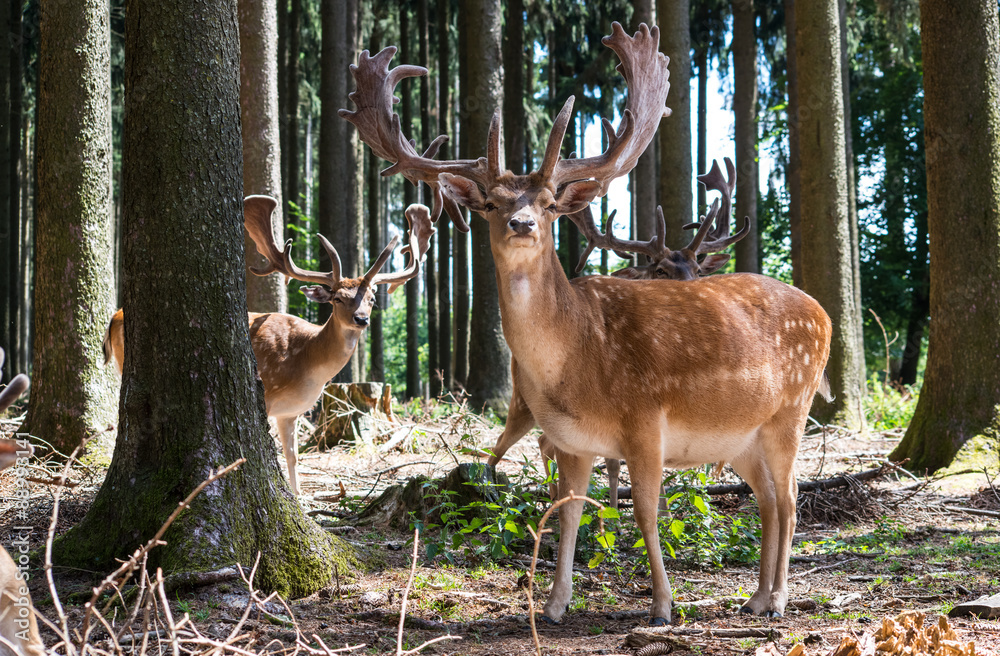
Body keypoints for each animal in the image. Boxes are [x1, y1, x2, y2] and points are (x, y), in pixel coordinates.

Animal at [104, 196, 434, 495]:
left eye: (372, 299)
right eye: (338, 298)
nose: (361, 319)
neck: (308, 363)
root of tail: (115, 315)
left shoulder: (291, 412)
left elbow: (293, 455)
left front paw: (298, 497)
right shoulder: (267, 395)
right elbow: (271, 449)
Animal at [488, 158, 749, 509]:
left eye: (697, 269)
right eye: (660, 270)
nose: (697, 294)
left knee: (543, 442)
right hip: (520, 401)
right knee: (499, 448)